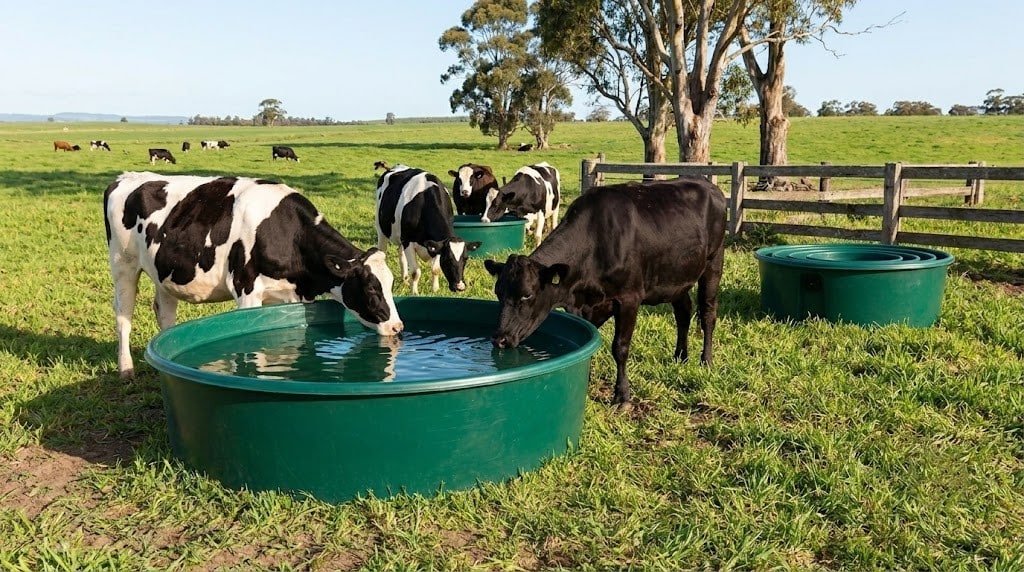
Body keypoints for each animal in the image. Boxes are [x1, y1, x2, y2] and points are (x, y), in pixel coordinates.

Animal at [104, 171, 404, 378]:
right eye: (371, 289)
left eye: (391, 285)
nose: (397, 328)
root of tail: (125, 178)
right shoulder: (246, 289)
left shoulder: (292, 296)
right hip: (123, 265)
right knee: (123, 315)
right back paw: (126, 369)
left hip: (164, 274)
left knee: (165, 313)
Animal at [375, 163, 481, 295]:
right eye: (447, 259)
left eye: (466, 259)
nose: (460, 286)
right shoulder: (408, 241)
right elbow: (415, 272)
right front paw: (414, 293)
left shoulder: (437, 244)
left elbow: (435, 269)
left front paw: (435, 290)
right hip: (381, 229)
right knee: (382, 251)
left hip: (401, 236)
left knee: (401, 255)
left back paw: (405, 281)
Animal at [484, 177, 727, 408]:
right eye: (498, 293)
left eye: (527, 294)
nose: (500, 340)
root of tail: (709, 186)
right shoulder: (584, 305)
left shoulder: (629, 298)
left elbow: (620, 347)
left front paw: (622, 396)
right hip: (676, 276)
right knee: (683, 311)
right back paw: (680, 357)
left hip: (713, 263)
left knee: (708, 313)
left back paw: (706, 361)